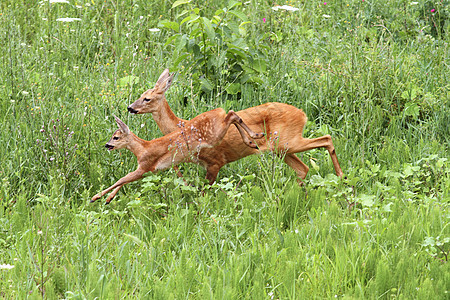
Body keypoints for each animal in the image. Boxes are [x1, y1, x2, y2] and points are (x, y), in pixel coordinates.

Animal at [91, 112, 264, 204]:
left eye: (116, 137)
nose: (106, 145)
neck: (142, 149)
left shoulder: (145, 166)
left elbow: (121, 179)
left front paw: (95, 197)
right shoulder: (148, 170)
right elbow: (124, 181)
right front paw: (108, 199)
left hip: (215, 135)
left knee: (231, 115)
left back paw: (254, 138)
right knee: (232, 115)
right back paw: (254, 139)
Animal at [128, 69, 342, 184]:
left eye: (147, 98)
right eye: (140, 95)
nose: (130, 107)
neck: (181, 126)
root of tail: (303, 114)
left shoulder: (215, 161)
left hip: (289, 140)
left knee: (326, 139)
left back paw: (341, 176)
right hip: (282, 148)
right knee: (303, 168)